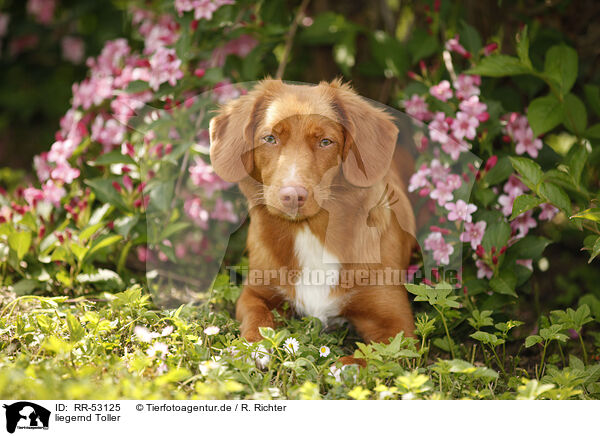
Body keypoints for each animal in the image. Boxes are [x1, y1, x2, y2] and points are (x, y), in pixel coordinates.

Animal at [211, 77, 418, 344]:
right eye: (270, 139)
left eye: (325, 142)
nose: (292, 195)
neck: (308, 231)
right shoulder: (255, 293)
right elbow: (256, 323)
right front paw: (254, 347)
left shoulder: (396, 323)